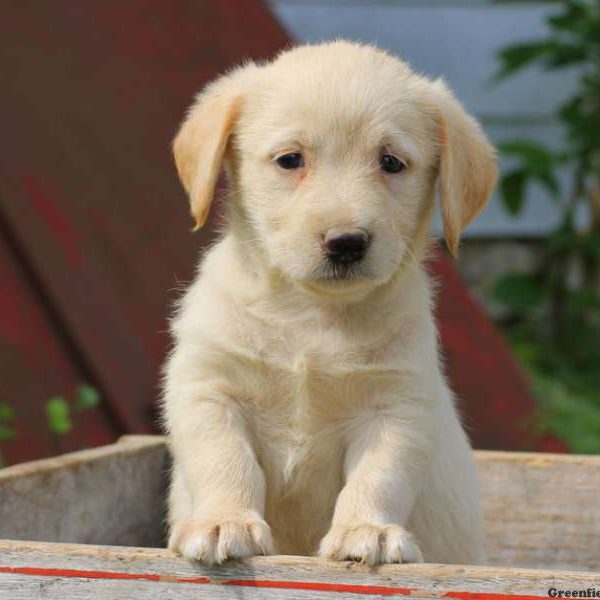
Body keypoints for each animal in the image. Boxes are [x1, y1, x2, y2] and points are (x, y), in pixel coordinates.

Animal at [163, 39, 496, 564]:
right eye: (290, 160)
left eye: (391, 162)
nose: (346, 242)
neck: (309, 317)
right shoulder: (209, 389)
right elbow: (225, 460)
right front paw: (223, 521)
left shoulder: (395, 409)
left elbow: (377, 477)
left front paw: (367, 530)